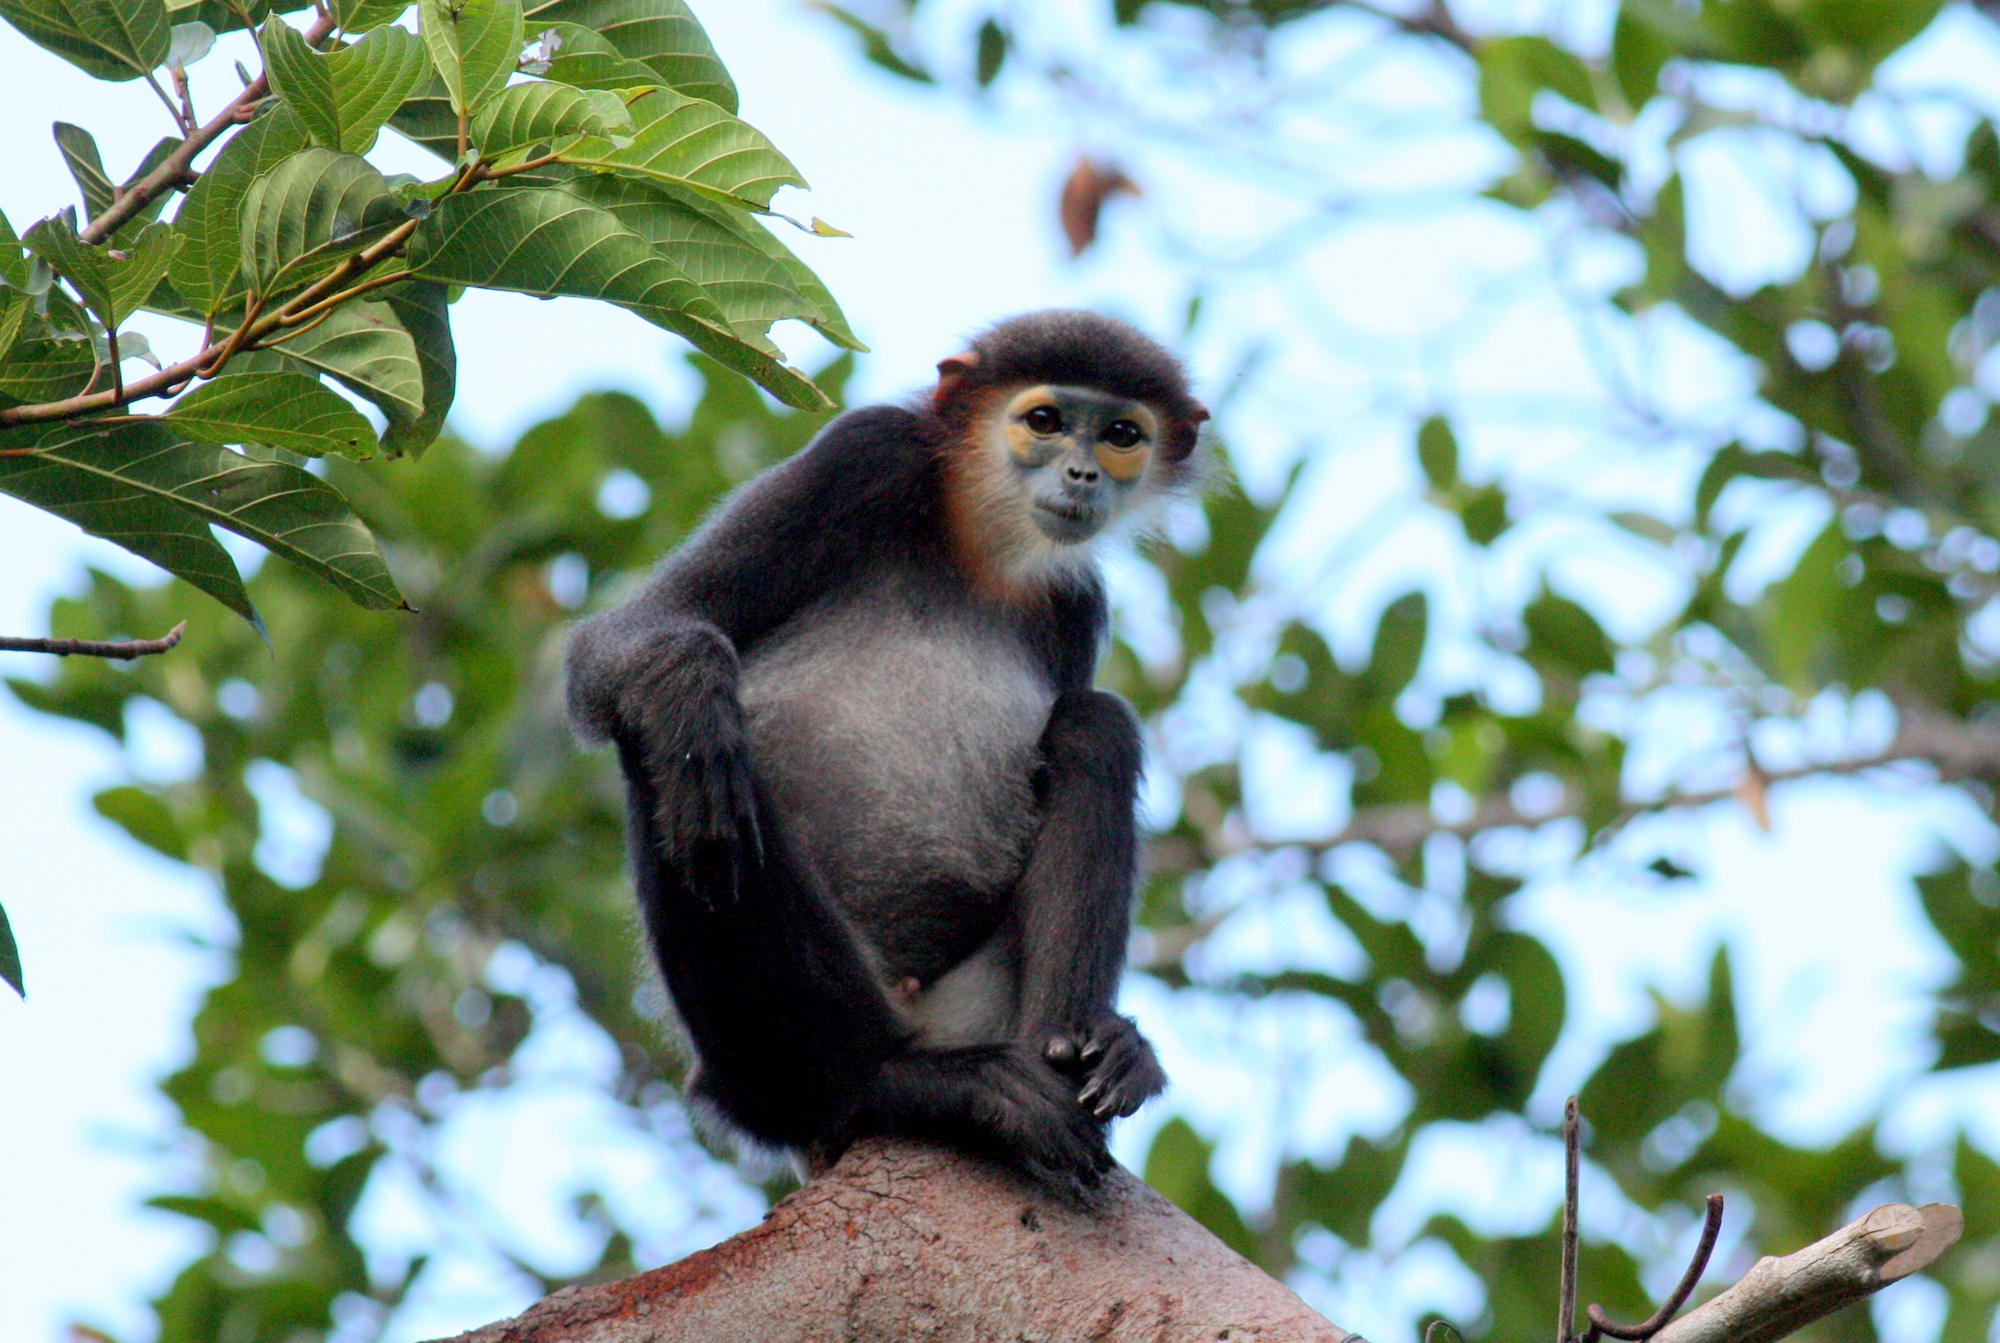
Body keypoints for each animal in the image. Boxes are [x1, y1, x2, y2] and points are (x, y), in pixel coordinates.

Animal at [572, 311, 1208, 1183]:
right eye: (1045, 420)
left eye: (1121, 434)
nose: (1083, 474)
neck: (979, 544)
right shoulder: (863, 453)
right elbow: (615, 649)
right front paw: (692, 689)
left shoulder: (1074, 599)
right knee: (675, 761)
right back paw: (899, 1084)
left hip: (975, 1002)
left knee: (1096, 724)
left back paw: (1081, 1064)